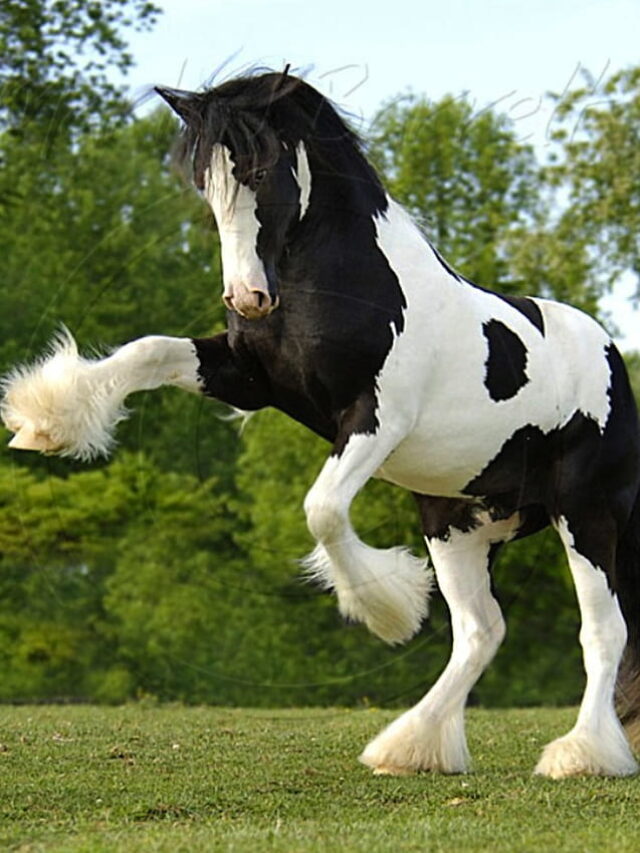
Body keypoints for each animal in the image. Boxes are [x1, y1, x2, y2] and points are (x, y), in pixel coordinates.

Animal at [3, 69, 640, 779]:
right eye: (203, 179)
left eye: (261, 170)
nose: (247, 298)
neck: (342, 283)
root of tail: (611, 356)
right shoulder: (250, 379)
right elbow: (148, 352)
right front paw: (43, 420)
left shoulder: (377, 418)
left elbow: (323, 509)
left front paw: (384, 610)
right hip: (459, 520)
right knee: (482, 630)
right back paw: (411, 747)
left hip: (584, 513)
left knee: (602, 629)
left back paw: (580, 755)